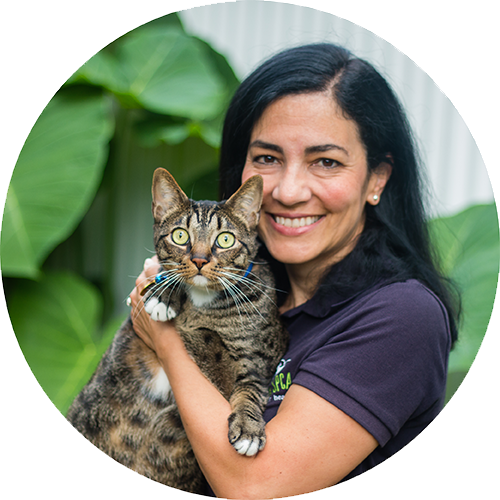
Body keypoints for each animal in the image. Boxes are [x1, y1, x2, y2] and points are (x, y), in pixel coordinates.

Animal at [65, 167, 290, 492]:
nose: (199, 259)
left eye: (225, 239)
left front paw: (248, 430)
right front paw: (164, 296)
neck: (204, 300)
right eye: (180, 235)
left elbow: (246, 387)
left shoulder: (258, 360)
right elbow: (170, 277)